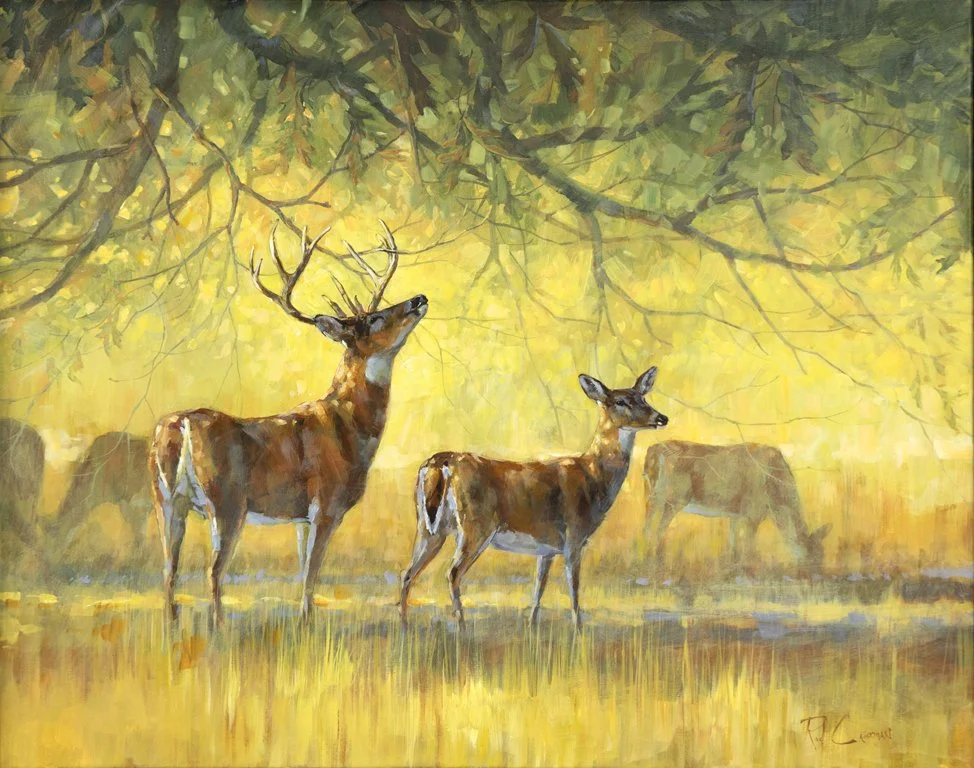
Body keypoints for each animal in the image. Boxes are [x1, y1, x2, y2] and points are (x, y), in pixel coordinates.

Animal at [150, 221, 427, 624]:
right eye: (374, 319)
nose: (419, 298)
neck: (351, 428)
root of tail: (182, 423)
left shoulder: (301, 518)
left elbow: (302, 574)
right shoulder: (326, 504)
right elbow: (311, 576)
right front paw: (307, 624)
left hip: (166, 499)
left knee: (169, 570)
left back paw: (173, 627)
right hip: (227, 501)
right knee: (213, 572)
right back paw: (218, 630)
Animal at [398, 367, 669, 630]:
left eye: (643, 397)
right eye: (621, 401)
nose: (661, 418)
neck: (593, 477)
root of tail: (440, 462)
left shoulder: (546, 547)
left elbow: (538, 589)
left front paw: (531, 627)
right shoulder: (574, 536)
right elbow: (574, 591)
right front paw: (578, 631)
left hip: (428, 526)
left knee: (408, 572)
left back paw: (404, 626)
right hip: (475, 526)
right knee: (452, 573)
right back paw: (462, 629)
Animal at [643, 441, 831, 576]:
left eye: (823, 554)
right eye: (812, 554)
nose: (817, 577)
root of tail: (653, 450)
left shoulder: (735, 513)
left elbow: (733, 542)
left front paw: (731, 568)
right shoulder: (753, 511)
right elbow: (749, 545)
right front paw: (747, 570)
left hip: (654, 494)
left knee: (648, 522)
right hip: (673, 497)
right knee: (658, 528)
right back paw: (657, 562)